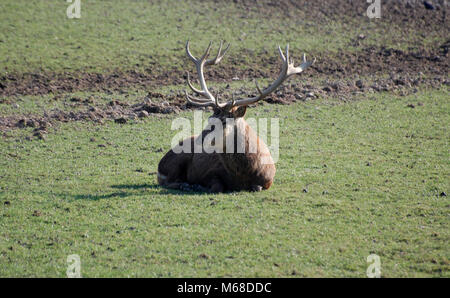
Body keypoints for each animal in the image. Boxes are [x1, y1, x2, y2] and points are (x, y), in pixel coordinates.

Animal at [158, 40, 316, 192]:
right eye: (210, 118)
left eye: (224, 121)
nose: (199, 141)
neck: (244, 174)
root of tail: (160, 166)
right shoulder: (211, 173)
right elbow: (216, 188)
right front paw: (198, 186)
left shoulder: (268, 181)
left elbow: (256, 187)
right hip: (177, 161)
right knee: (167, 181)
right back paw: (186, 185)